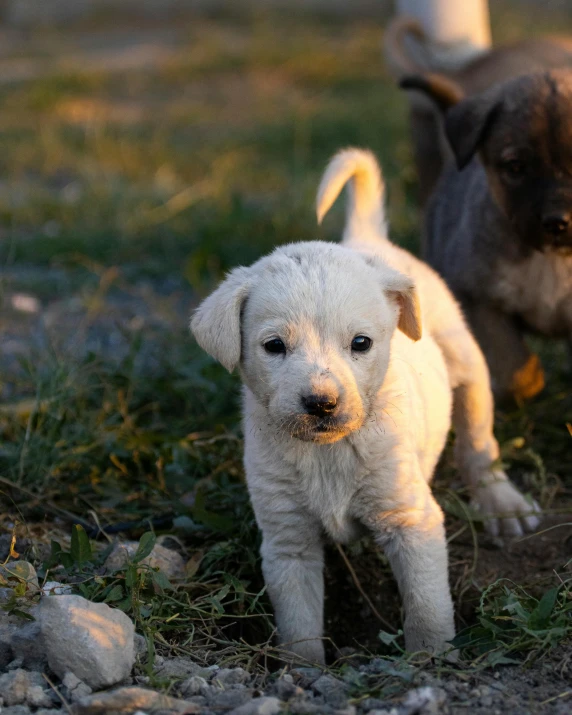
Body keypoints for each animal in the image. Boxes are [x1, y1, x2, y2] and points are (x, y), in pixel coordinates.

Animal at [190, 151, 540, 664]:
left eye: (361, 343)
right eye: (274, 346)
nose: (321, 402)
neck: (329, 452)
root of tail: (365, 240)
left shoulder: (412, 521)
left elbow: (426, 608)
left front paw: (430, 663)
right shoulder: (286, 539)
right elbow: (299, 626)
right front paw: (303, 672)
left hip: (467, 361)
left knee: (479, 440)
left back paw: (502, 503)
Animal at [402, 69, 572, 400]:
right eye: (516, 167)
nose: (558, 222)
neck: (552, 262)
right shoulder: (478, 299)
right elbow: (512, 367)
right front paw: (527, 380)